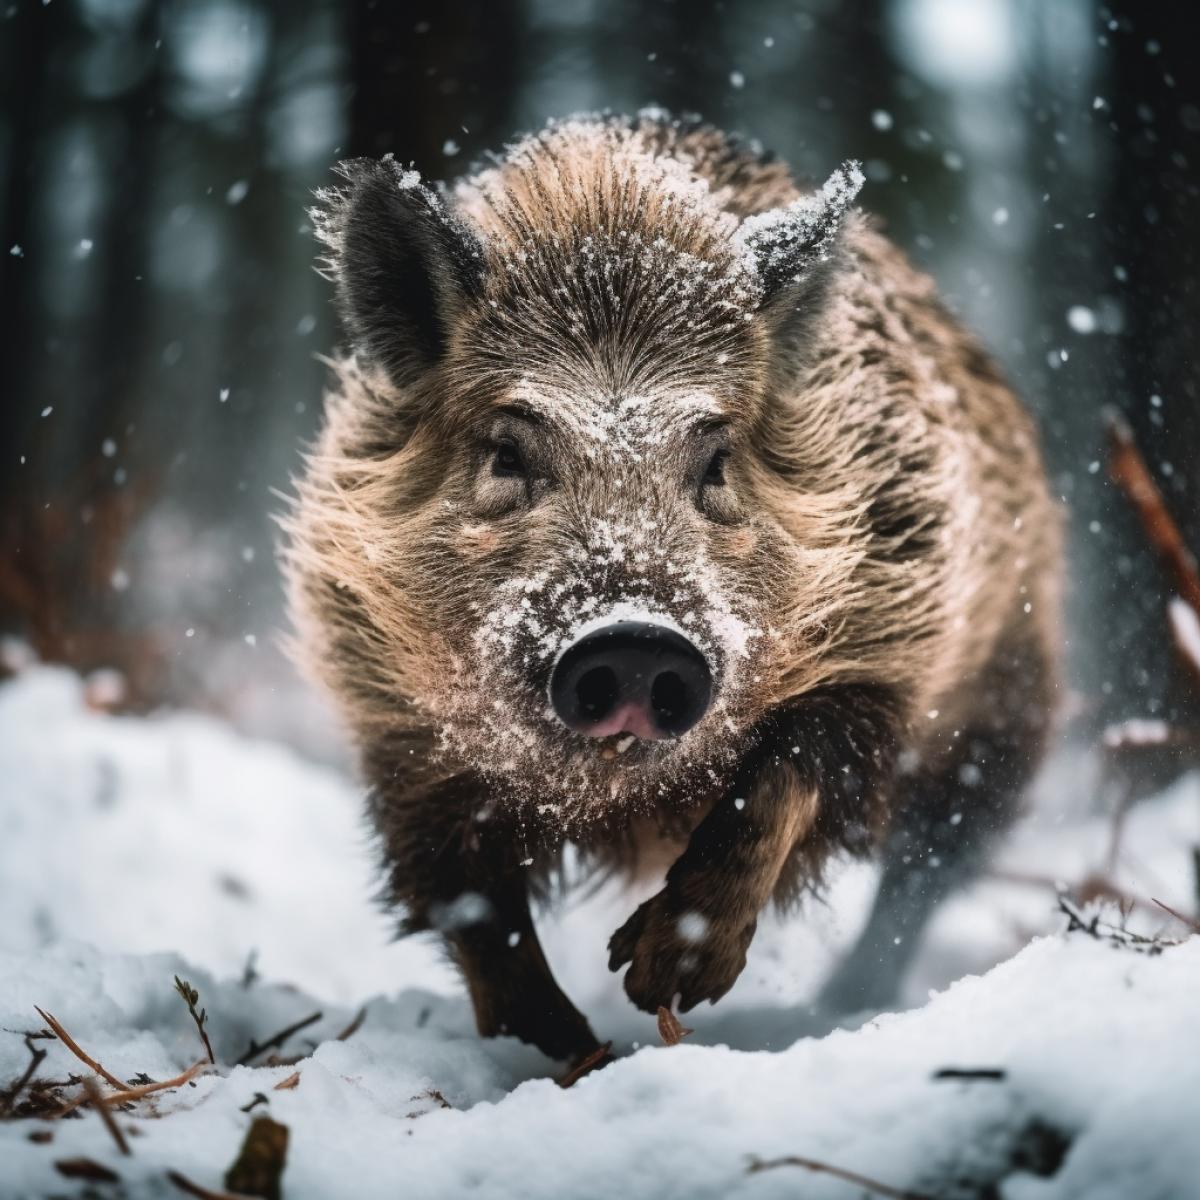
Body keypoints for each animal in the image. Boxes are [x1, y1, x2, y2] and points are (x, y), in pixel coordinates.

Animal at [283, 111, 1062, 1063]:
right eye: (506, 452)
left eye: (716, 459)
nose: (633, 639)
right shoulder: (397, 732)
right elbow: (476, 912)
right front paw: (569, 1056)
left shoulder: (890, 645)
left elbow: (786, 774)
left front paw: (663, 981)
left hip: (1008, 701)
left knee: (927, 866)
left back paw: (846, 1000)